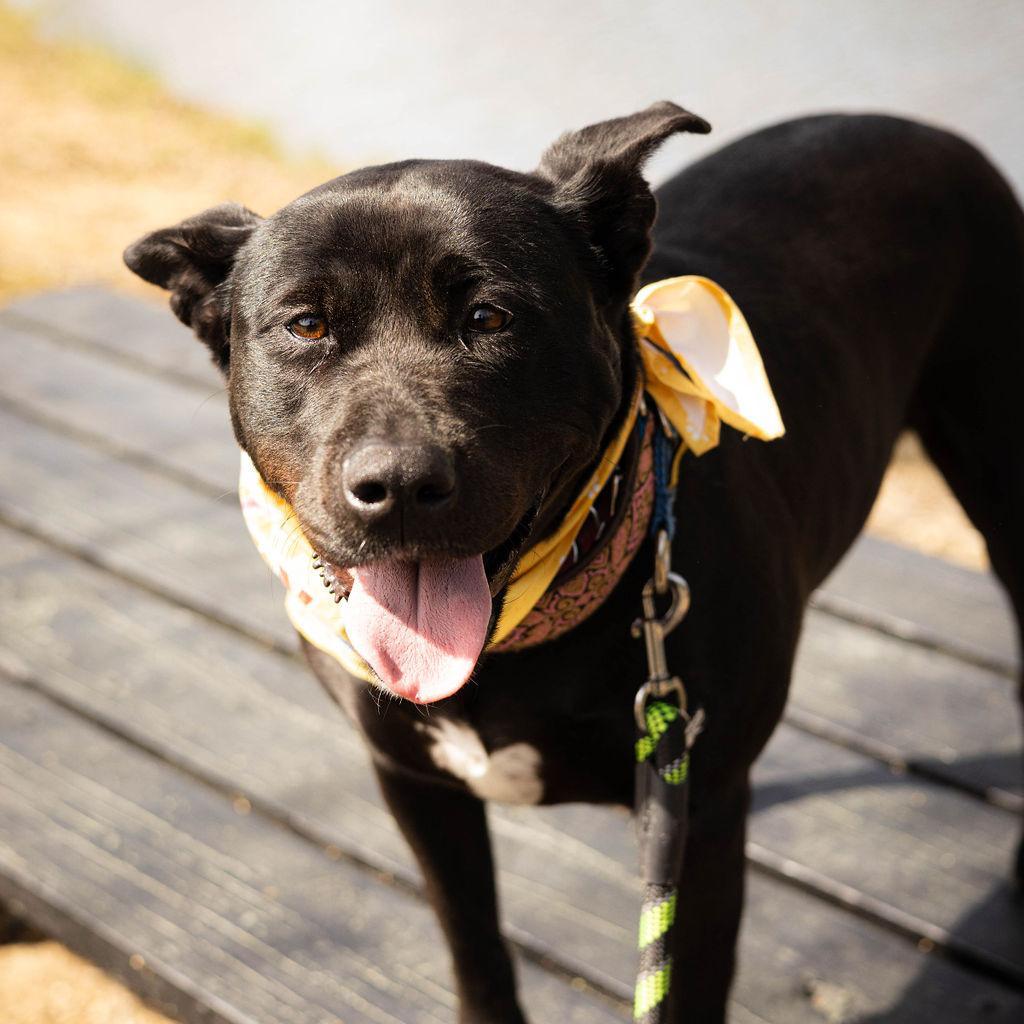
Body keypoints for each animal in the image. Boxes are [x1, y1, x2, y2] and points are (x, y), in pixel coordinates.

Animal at [121, 105, 1024, 1024]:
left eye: (490, 317)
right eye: (307, 325)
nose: (399, 485)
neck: (516, 637)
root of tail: (919, 126)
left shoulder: (700, 839)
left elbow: (682, 986)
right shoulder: (415, 784)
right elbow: (475, 946)